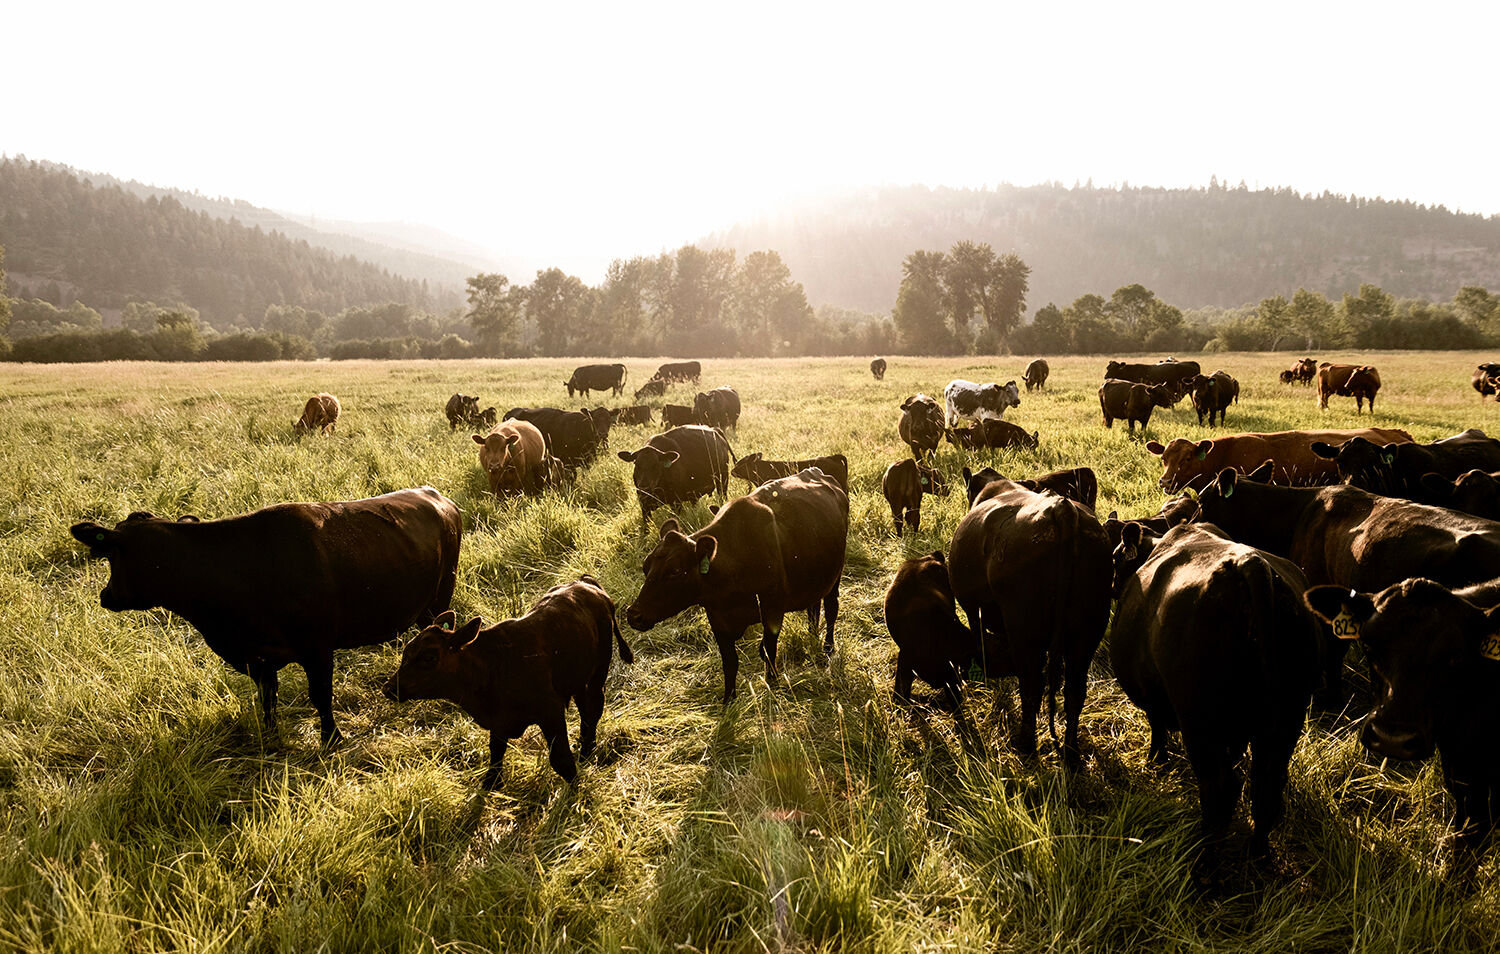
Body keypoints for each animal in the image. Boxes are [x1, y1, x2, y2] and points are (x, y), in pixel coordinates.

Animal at [70, 487, 462, 746]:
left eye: (113, 555)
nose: (106, 597)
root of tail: (435, 496)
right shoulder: (258, 657)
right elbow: (268, 698)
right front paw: (271, 736)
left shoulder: (317, 648)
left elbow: (320, 696)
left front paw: (332, 738)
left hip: (440, 598)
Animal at [383, 577, 633, 789]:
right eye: (405, 653)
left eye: (429, 657)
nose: (389, 688)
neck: (493, 666)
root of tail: (584, 582)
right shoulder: (499, 721)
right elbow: (495, 754)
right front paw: (489, 784)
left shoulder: (550, 710)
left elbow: (560, 759)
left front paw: (574, 789)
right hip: (578, 677)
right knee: (585, 709)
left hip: (598, 670)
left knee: (594, 706)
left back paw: (587, 750)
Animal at [624, 468, 849, 704]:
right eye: (645, 566)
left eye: (675, 571)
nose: (634, 614)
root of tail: (816, 472)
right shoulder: (717, 618)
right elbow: (730, 662)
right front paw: (728, 701)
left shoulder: (772, 608)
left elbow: (768, 650)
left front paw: (773, 685)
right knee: (813, 609)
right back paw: (813, 636)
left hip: (836, 574)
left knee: (831, 609)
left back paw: (828, 647)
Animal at [947, 474, 1112, 763]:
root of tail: (1061, 508)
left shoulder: (973, 611)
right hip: (1088, 631)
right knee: (1074, 692)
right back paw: (1071, 754)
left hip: (1024, 630)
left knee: (1032, 686)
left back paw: (1026, 745)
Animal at [1111, 522, 1321, 855]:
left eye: (1117, 558)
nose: (1113, 586)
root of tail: (1251, 565)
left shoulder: (1153, 693)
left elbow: (1157, 727)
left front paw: (1155, 761)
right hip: (1287, 719)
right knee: (1267, 787)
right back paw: (1259, 852)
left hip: (1199, 719)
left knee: (1220, 787)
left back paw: (1204, 855)